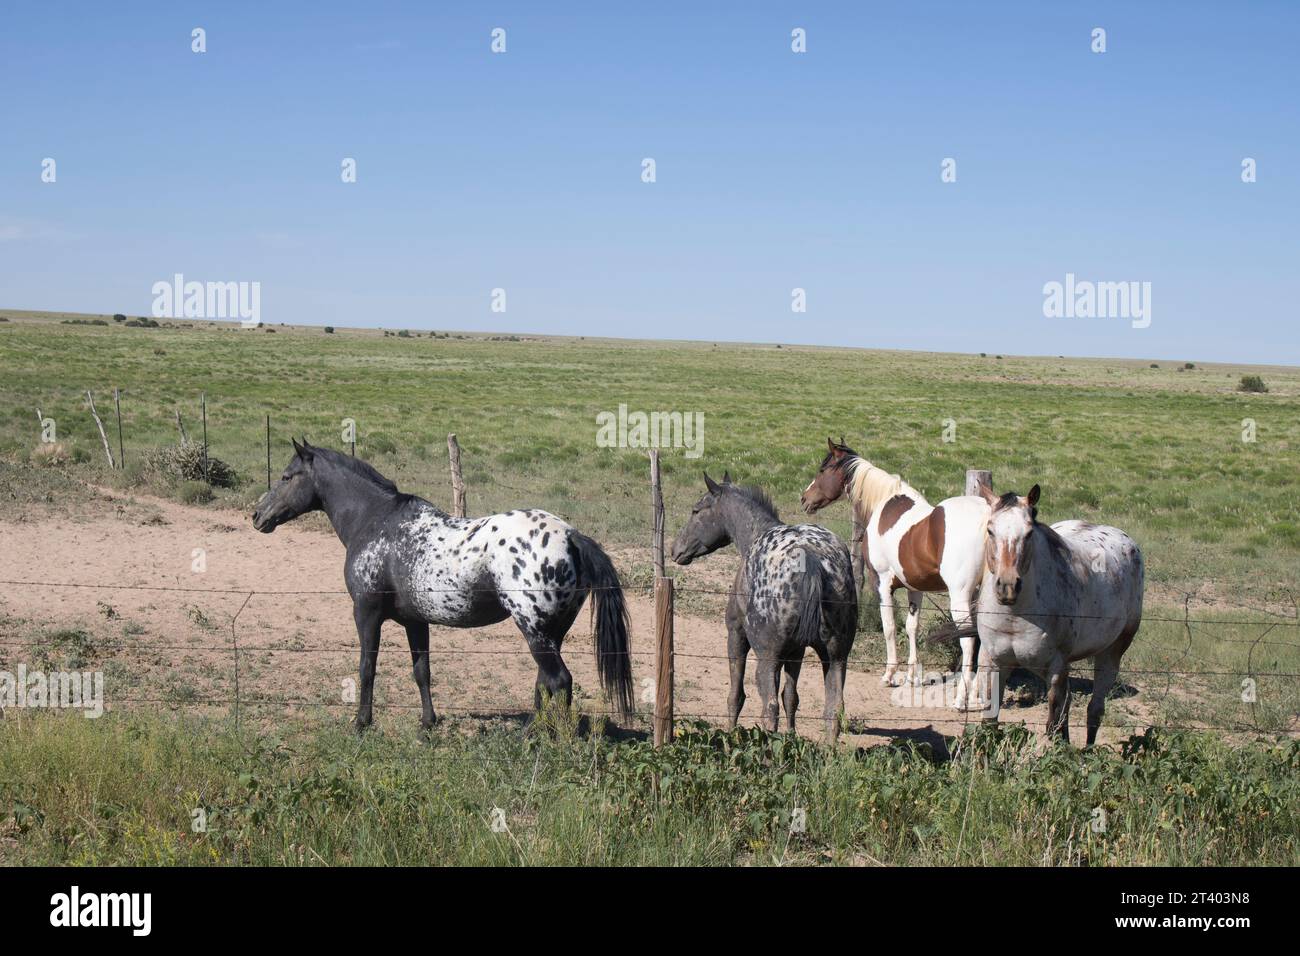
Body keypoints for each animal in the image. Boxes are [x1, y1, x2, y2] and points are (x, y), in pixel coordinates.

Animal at [249, 442, 634, 733]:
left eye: (287, 476)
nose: (256, 516)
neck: (375, 521)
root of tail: (570, 536)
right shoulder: (415, 621)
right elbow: (422, 672)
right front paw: (427, 723)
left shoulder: (366, 614)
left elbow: (367, 667)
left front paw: (361, 723)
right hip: (552, 632)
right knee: (546, 682)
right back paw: (530, 731)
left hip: (535, 631)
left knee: (559, 681)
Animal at [670, 470, 863, 738]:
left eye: (696, 511)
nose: (675, 550)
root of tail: (811, 558)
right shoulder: (795, 651)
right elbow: (791, 697)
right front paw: (791, 737)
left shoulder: (736, 636)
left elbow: (736, 697)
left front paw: (731, 736)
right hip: (835, 658)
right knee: (833, 710)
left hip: (767, 657)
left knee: (769, 707)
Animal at [795, 442, 987, 712]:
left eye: (823, 469)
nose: (805, 499)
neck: (884, 506)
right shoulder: (914, 587)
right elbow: (911, 627)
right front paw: (912, 677)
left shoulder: (882, 582)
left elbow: (889, 626)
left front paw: (889, 675)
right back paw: (979, 696)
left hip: (960, 596)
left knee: (969, 642)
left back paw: (961, 699)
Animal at [972, 486, 1144, 749]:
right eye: (991, 530)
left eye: (1029, 533)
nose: (1008, 586)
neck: (1015, 617)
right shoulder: (992, 662)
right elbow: (990, 721)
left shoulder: (1056, 668)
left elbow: (1052, 723)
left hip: (1111, 653)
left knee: (1094, 709)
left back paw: (1088, 751)